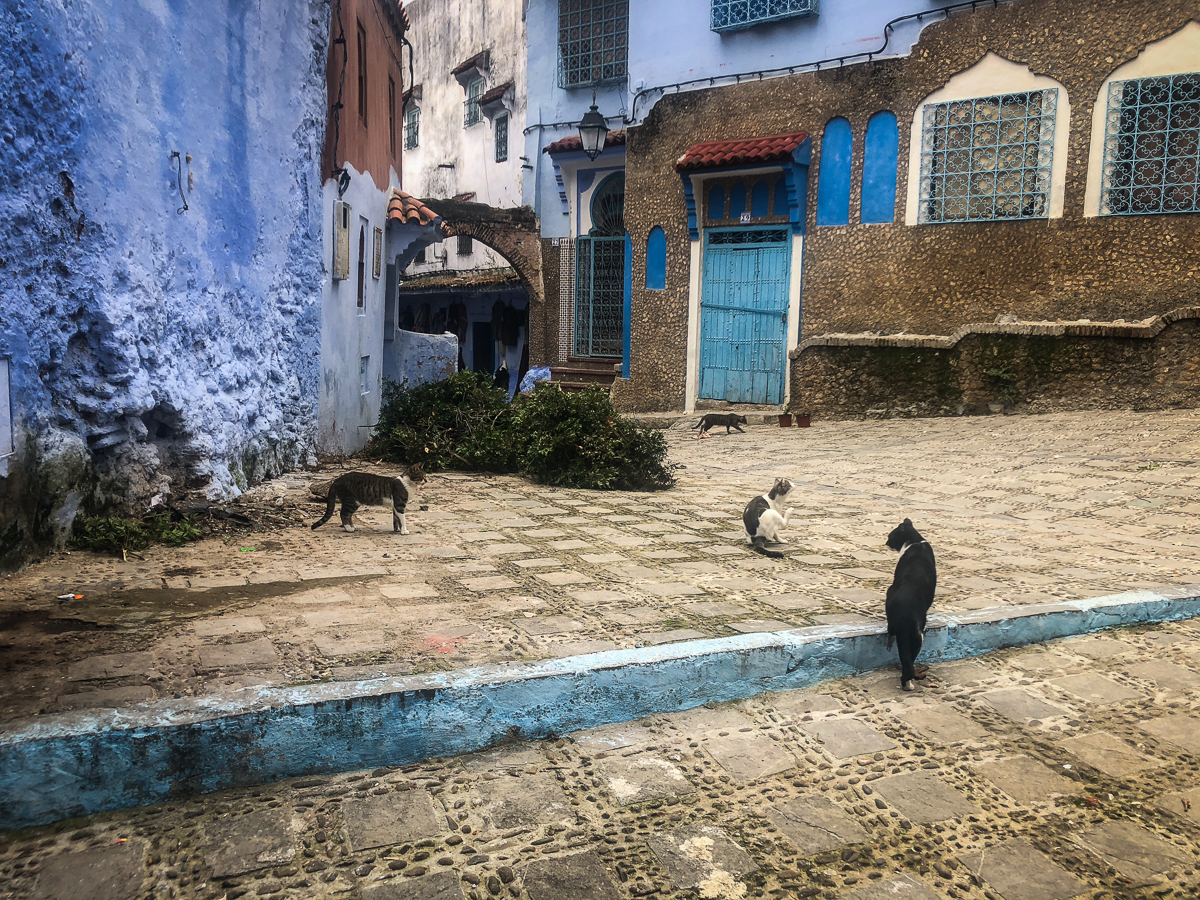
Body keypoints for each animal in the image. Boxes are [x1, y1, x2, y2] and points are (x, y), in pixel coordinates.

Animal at [883, 518, 936, 696]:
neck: (915, 541)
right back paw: (909, 684)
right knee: (908, 665)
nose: (886, 543)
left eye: (890, 536)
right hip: (916, 637)